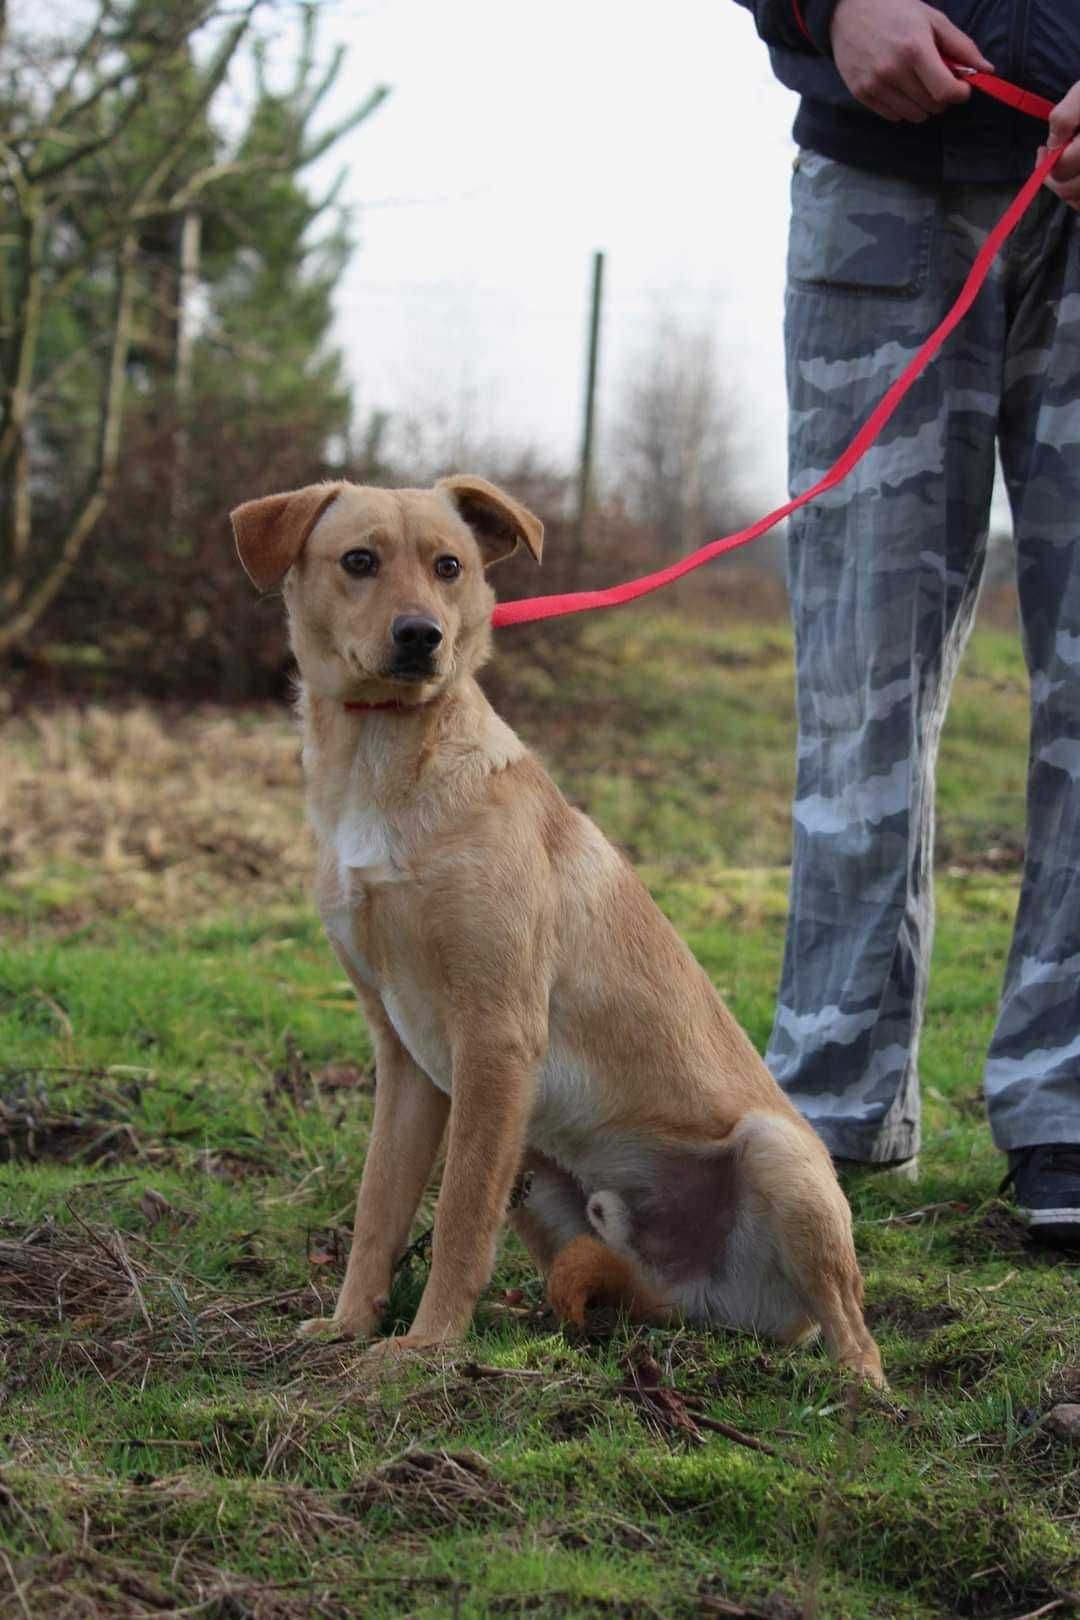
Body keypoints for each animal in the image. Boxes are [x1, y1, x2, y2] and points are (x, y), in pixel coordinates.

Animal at [233, 476, 880, 1380]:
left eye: (449, 566)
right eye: (358, 561)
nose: (421, 636)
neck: (384, 757)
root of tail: (713, 1303)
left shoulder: (497, 1038)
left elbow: (459, 1218)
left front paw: (428, 1347)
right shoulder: (404, 1060)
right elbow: (378, 1210)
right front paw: (349, 1325)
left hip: (777, 1157)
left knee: (856, 1329)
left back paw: (864, 1390)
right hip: (539, 1174)